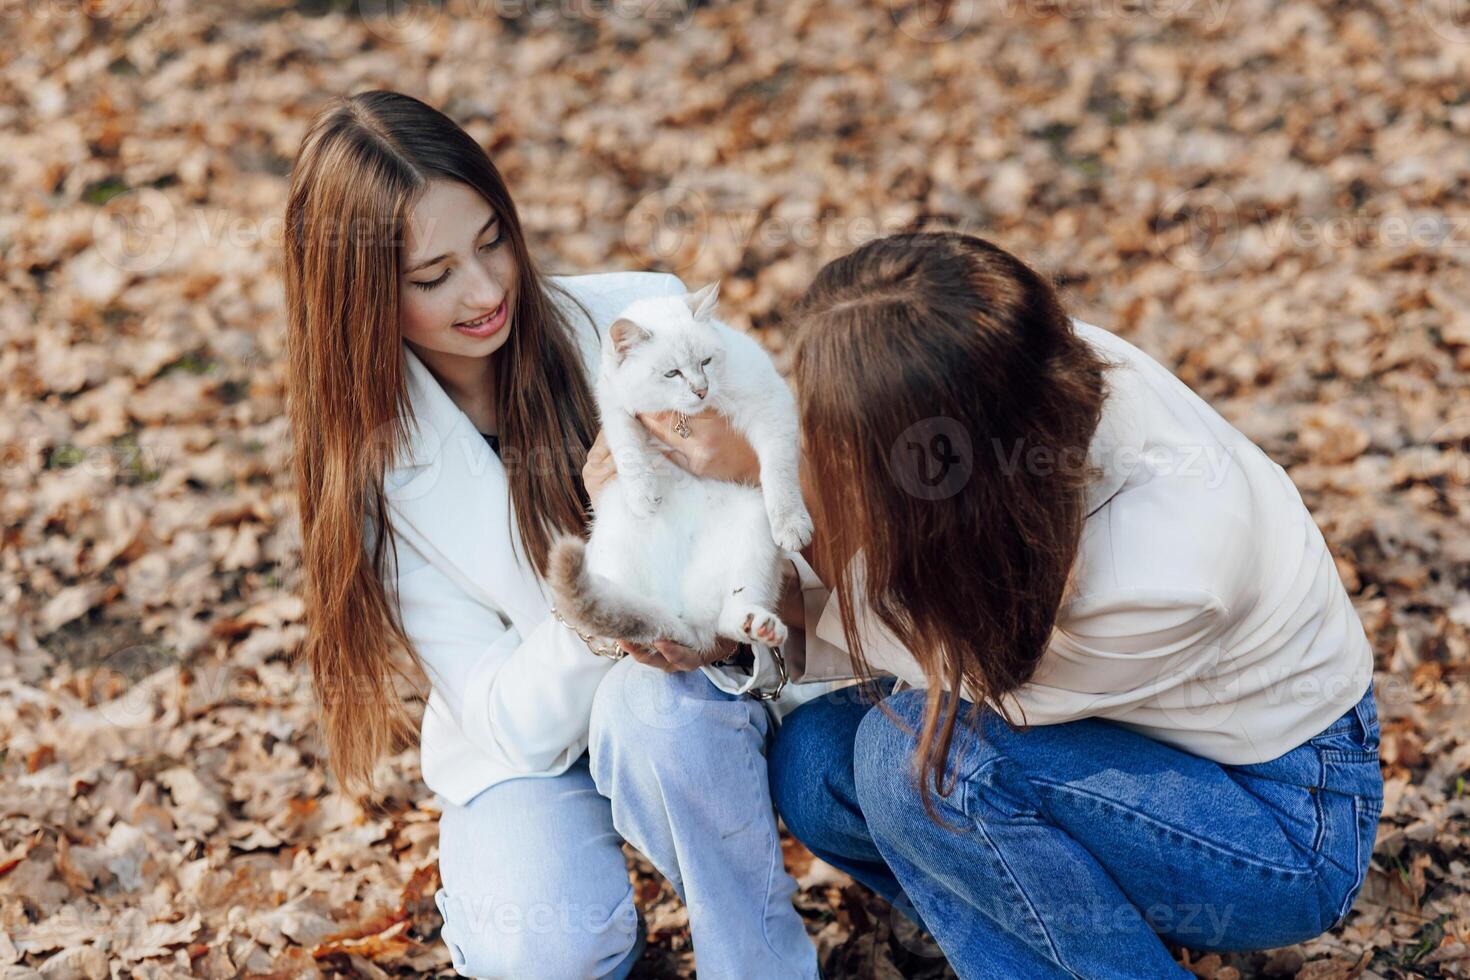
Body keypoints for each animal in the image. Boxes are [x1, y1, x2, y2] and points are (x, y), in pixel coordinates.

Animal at [546, 279, 811, 655]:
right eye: (672, 373)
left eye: (706, 362)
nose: (701, 390)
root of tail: (686, 618)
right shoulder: (615, 409)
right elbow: (628, 452)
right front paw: (644, 497)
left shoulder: (770, 405)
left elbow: (779, 471)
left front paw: (791, 525)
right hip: (613, 546)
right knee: (631, 618)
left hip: (754, 526)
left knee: (731, 613)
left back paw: (759, 626)